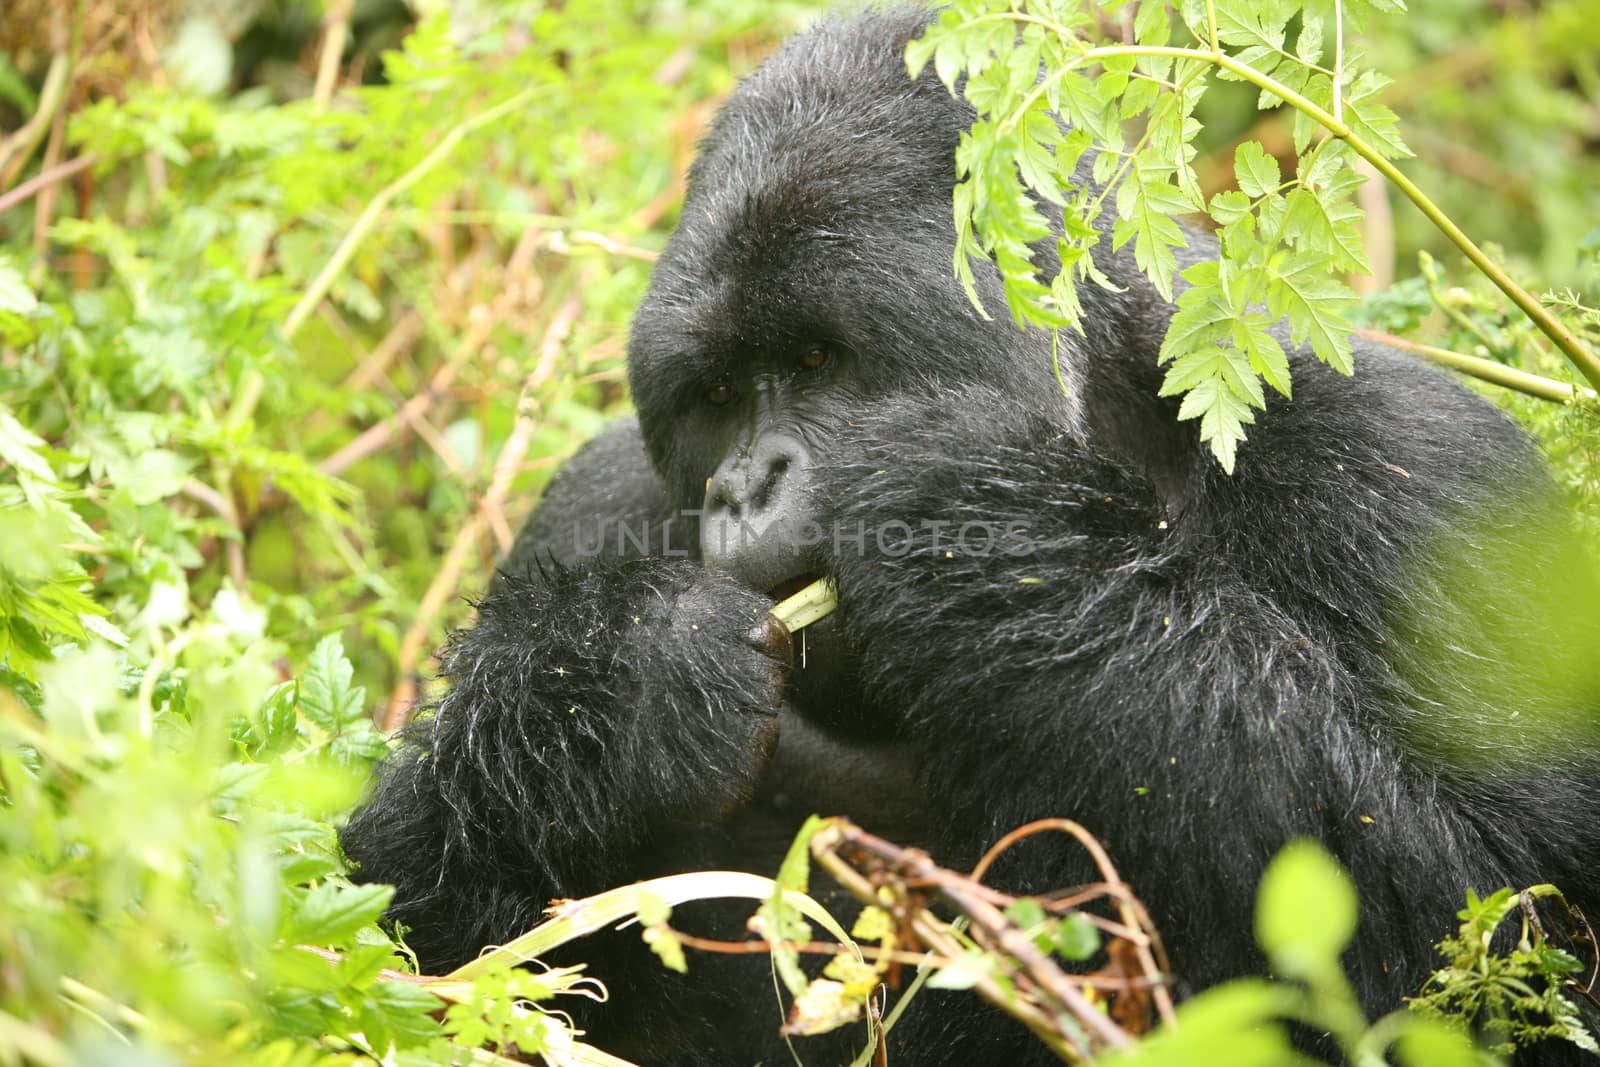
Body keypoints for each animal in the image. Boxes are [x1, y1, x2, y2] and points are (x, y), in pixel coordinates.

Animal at [347, 4, 1600, 1062]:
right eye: (718, 394)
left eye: (817, 363)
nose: (745, 485)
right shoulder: (587, 505)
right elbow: (398, 952)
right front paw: (601, 689)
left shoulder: (1417, 471)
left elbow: (1506, 933)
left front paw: (998, 547)